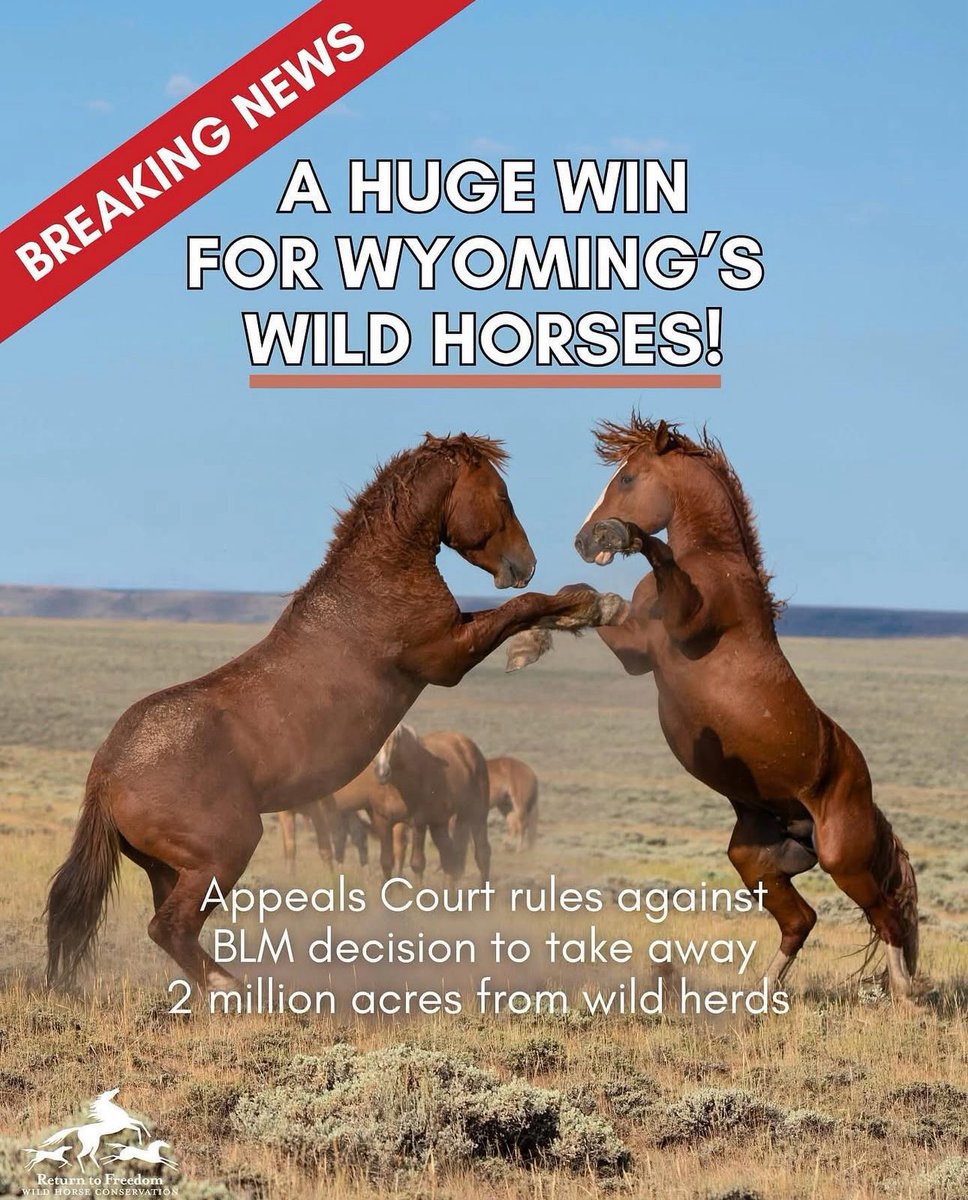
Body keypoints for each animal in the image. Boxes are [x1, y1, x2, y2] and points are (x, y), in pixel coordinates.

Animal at [374, 724, 491, 884]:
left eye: (395, 738)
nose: (382, 772)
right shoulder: (383, 821)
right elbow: (386, 862)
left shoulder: (418, 822)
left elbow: (417, 864)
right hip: (442, 823)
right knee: (449, 860)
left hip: (477, 814)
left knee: (482, 854)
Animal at [527, 414, 919, 1000]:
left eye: (628, 479)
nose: (583, 538)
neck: (714, 561)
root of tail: (864, 794)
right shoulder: (639, 653)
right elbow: (598, 605)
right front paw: (536, 634)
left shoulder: (684, 626)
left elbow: (656, 558)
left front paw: (625, 536)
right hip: (755, 858)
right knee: (801, 920)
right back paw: (757, 995)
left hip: (842, 858)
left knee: (886, 915)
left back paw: (904, 999)